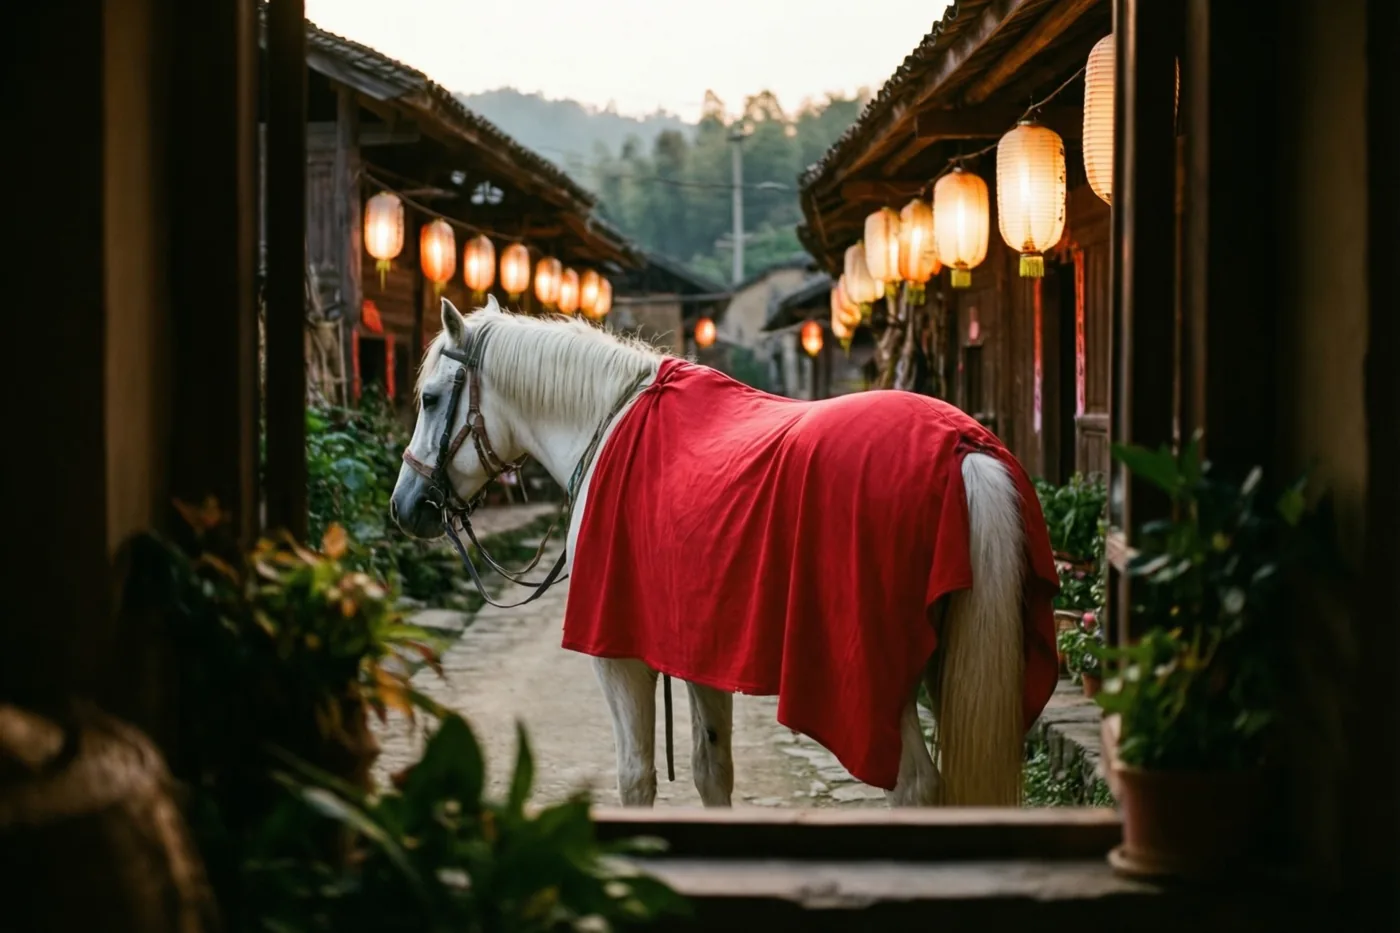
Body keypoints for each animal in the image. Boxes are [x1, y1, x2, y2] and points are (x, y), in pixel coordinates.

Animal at [390, 296, 1057, 809]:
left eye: (429, 398)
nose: (405, 505)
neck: (607, 423)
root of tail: (961, 449)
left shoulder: (619, 655)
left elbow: (635, 778)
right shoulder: (696, 652)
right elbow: (713, 772)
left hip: (881, 684)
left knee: (914, 787)